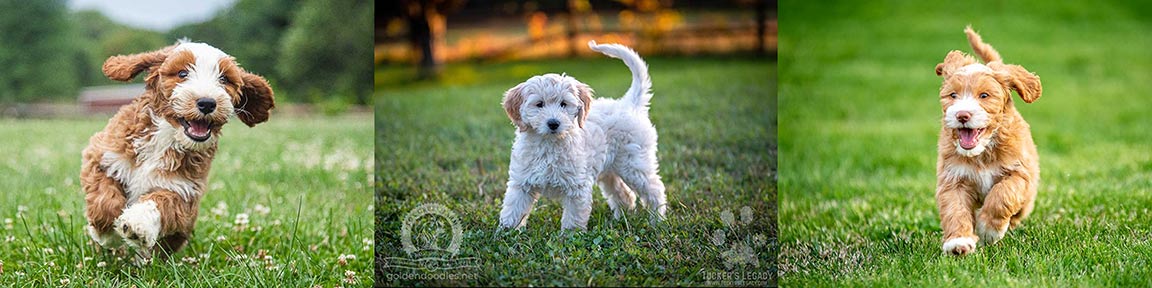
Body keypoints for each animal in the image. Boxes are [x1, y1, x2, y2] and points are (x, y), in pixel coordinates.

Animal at [82, 40, 275, 263]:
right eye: (182, 73)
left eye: (224, 79)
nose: (207, 103)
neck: (166, 135)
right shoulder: (102, 155)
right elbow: (104, 199)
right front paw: (108, 235)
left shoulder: (184, 192)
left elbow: (162, 202)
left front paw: (138, 223)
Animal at [495, 40, 668, 229]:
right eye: (539, 104)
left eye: (563, 104)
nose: (553, 123)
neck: (549, 144)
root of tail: (629, 104)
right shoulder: (521, 183)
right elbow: (513, 209)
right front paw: (506, 232)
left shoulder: (577, 187)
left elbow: (573, 218)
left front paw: (569, 235)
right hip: (610, 170)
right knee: (624, 194)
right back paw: (621, 219)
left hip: (635, 165)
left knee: (655, 189)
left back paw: (657, 220)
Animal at [935, 27, 1046, 255]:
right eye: (953, 95)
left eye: (984, 95)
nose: (962, 115)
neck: (982, 152)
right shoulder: (953, 178)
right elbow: (955, 209)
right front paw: (958, 242)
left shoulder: (1019, 172)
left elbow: (1002, 195)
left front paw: (988, 230)